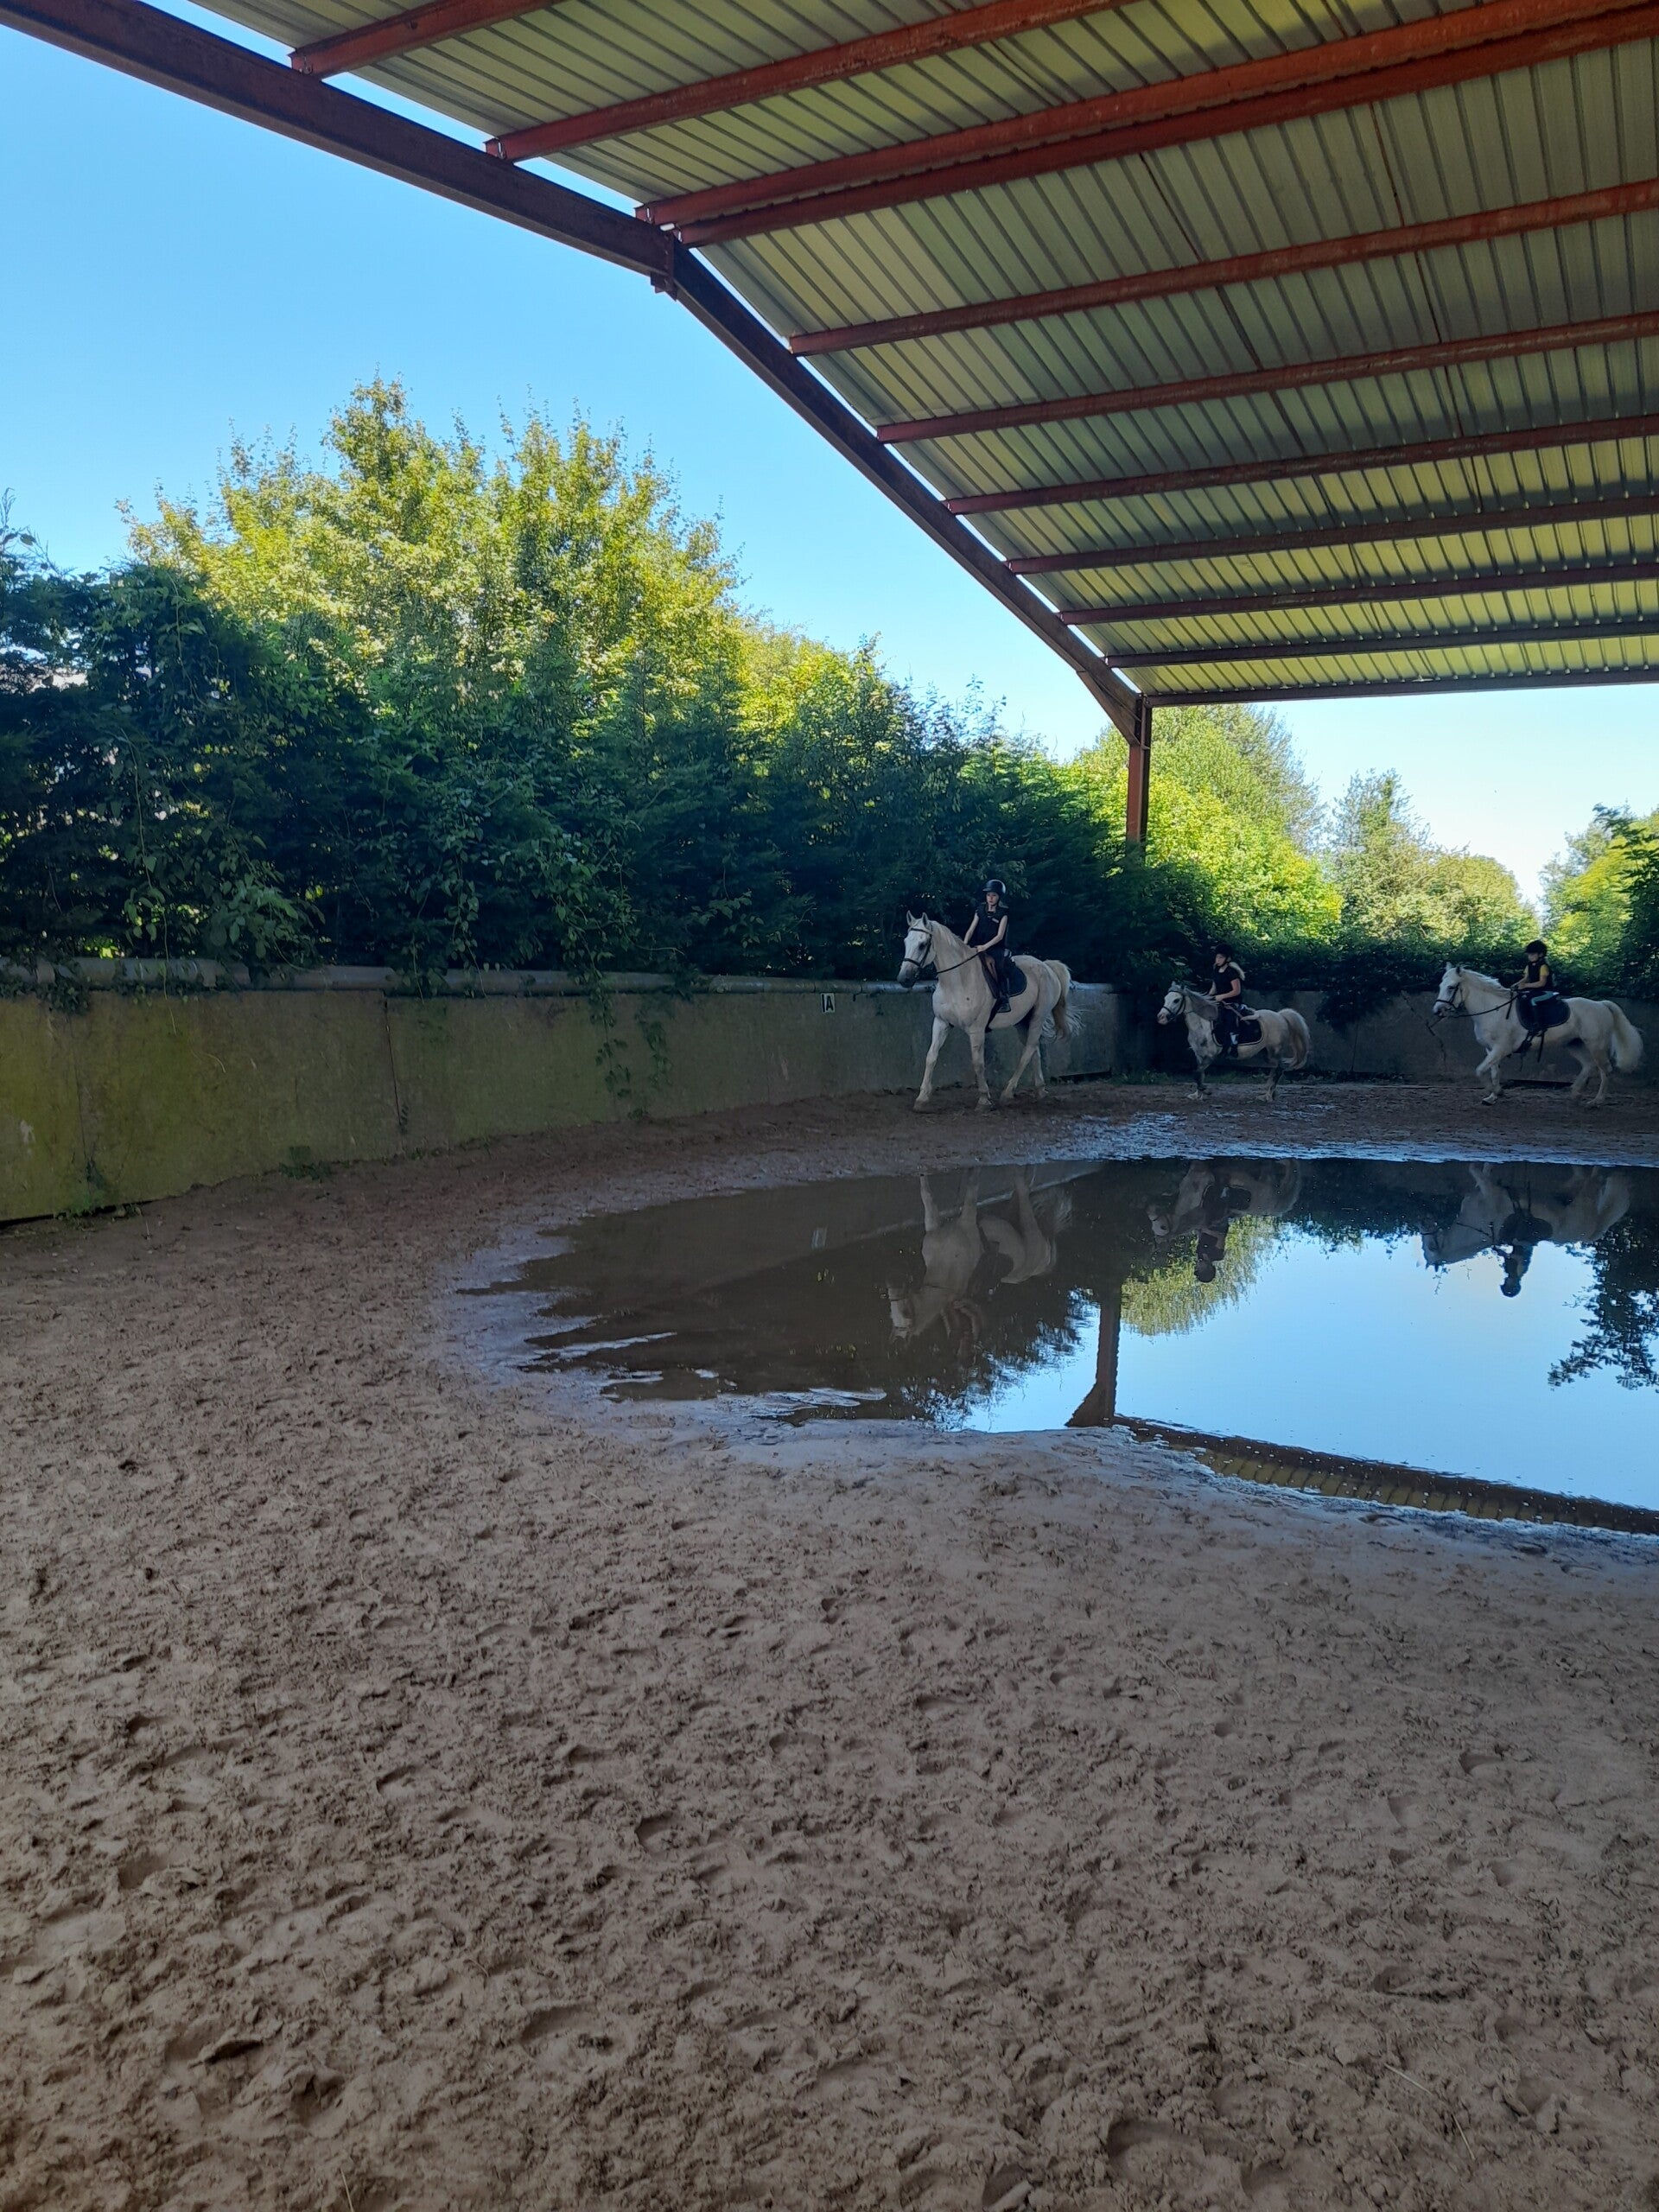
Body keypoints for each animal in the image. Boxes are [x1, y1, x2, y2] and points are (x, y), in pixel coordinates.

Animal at [897, 914, 1072, 1111]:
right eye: (905, 942)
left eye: (922, 944)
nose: (903, 979)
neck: (957, 981)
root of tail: (1046, 966)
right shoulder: (941, 1023)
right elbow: (931, 1057)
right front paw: (921, 1099)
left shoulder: (976, 1029)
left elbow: (978, 1062)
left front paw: (983, 1099)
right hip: (1022, 1021)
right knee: (1034, 1050)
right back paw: (1040, 1090)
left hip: (1038, 1017)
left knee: (1028, 1050)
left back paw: (1007, 1093)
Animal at [1156, 982, 1311, 1099]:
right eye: (1165, 998)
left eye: (1176, 1000)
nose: (1161, 1018)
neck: (1202, 1023)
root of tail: (1281, 1016)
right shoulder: (1199, 1055)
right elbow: (1199, 1074)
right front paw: (1197, 1095)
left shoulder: (1210, 1056)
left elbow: (1196, 1073)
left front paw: (1206, 1091)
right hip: (1268, 1053)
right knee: (1275, 1069)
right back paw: (1269, 1093)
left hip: (1275, 1051)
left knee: (1278, 1069)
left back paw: (1267, 1096)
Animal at [1432, 965, 1645, 1106]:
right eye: (1441, 985)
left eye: (1451, 987)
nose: (1437, 1011)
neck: (1492, 1009)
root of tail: (1601, 1004)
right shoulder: (1491, 1049)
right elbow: (1493, 1072)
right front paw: (1493, 1096)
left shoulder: (1501, 1048)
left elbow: (1480, 1070)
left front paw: (1494, 1091)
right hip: (1574, 1044)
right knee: (1588, 1066)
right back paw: (1576, 1092)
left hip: (1596, 1045)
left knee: (1605, 1069)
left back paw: (1596, 1101)